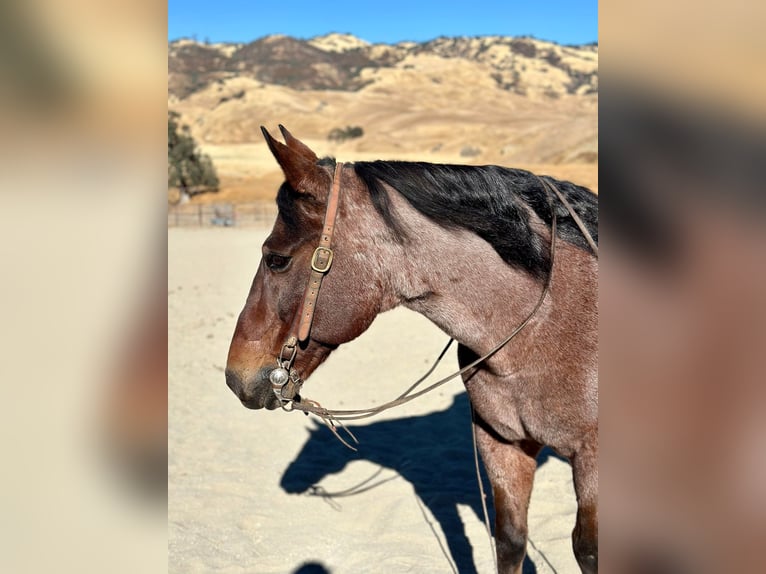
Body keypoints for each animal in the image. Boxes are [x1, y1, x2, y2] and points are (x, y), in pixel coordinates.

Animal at [228, 127, 600, 574]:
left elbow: (589, 550)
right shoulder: (502, 444)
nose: (236, 376)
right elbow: (510, 540)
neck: (548, 324)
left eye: (277, 260)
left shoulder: (595, 462)